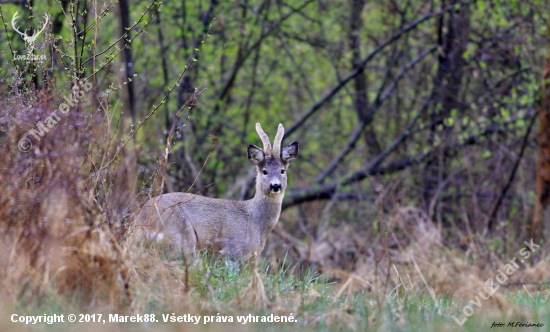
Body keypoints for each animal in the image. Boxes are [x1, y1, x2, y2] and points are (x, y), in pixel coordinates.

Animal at [136, 123, 300, 260]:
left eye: (282, 170)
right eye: (264, 171)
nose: (275, 186)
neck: (256, 222)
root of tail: (140, 219)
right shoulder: (232, 250)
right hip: (181, 237)